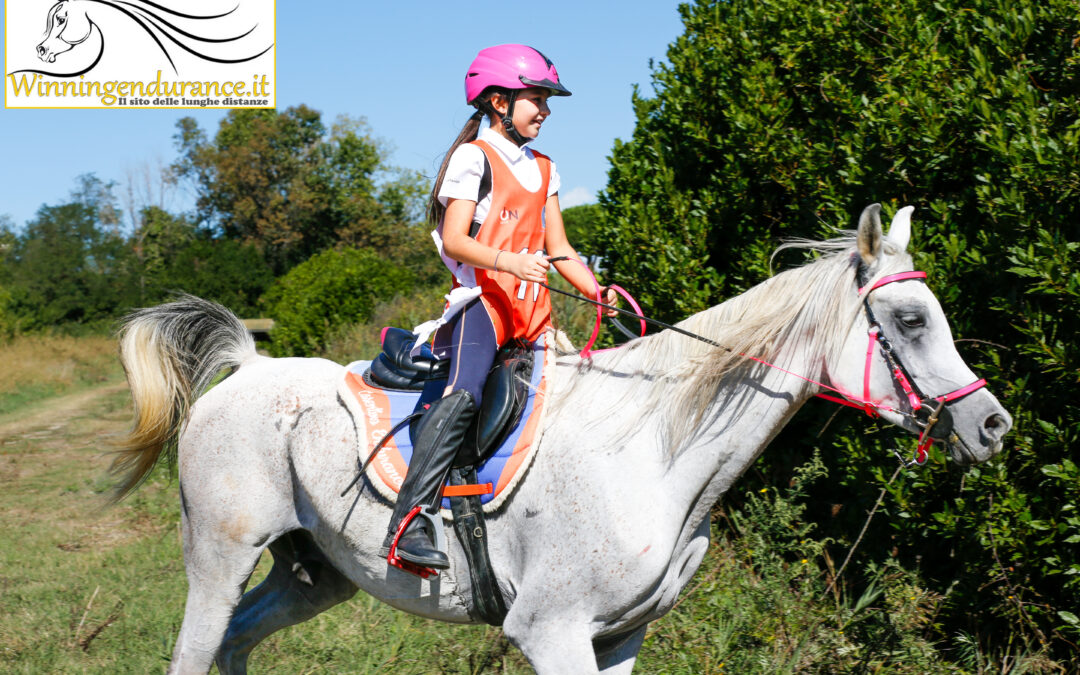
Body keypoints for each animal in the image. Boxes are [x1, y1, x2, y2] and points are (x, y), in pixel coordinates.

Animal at [118, 205, 1010, 673]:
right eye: (909, 320)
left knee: (236, 640)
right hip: (219, 558)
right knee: (198, 646)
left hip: (313, 573)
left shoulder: (620, 633)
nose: (992, 423)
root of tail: (246, 366)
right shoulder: (552, 629)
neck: (655, 453)